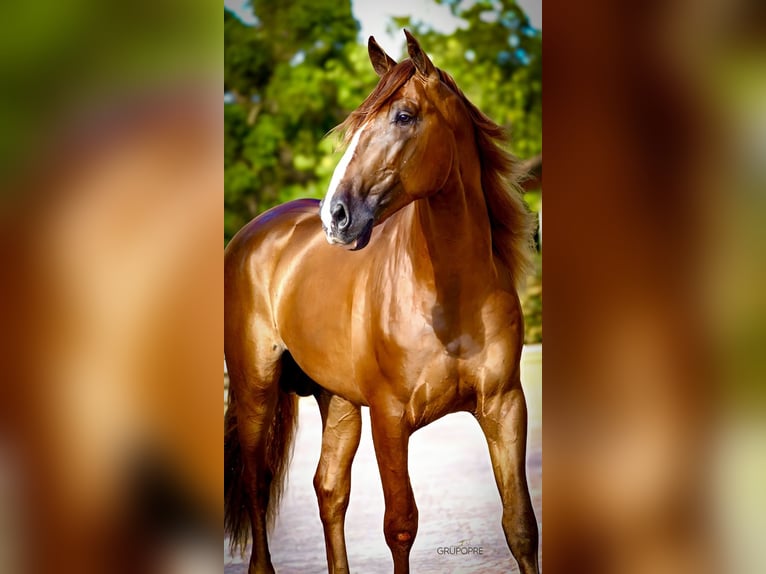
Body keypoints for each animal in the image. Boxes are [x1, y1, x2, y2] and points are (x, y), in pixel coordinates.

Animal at [224, 30, 539, 574]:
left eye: (405, 116)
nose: (336, 216)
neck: (450, 295)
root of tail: (252, 233)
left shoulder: (504, 406)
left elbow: (519, 523)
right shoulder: (390, 419)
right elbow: (401, 526)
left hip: (339, 403)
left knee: (329, 489)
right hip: (255, 391)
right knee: (256, 484)